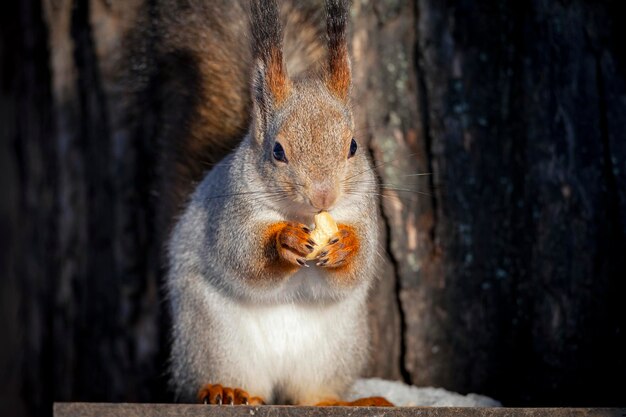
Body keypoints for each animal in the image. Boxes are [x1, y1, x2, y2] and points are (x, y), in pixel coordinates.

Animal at [161, 0, 390, 404]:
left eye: (352, 146)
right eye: (277, 151)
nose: (324, 195)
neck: (305, 215)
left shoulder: (363, 208)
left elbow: (357, 268)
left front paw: (346, 245)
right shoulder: (230, 212)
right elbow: (244, 257)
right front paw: (285, 240)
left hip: (334, 350)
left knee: (312, 393)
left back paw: (342, 400)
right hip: (212, 337)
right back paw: (226, 390)